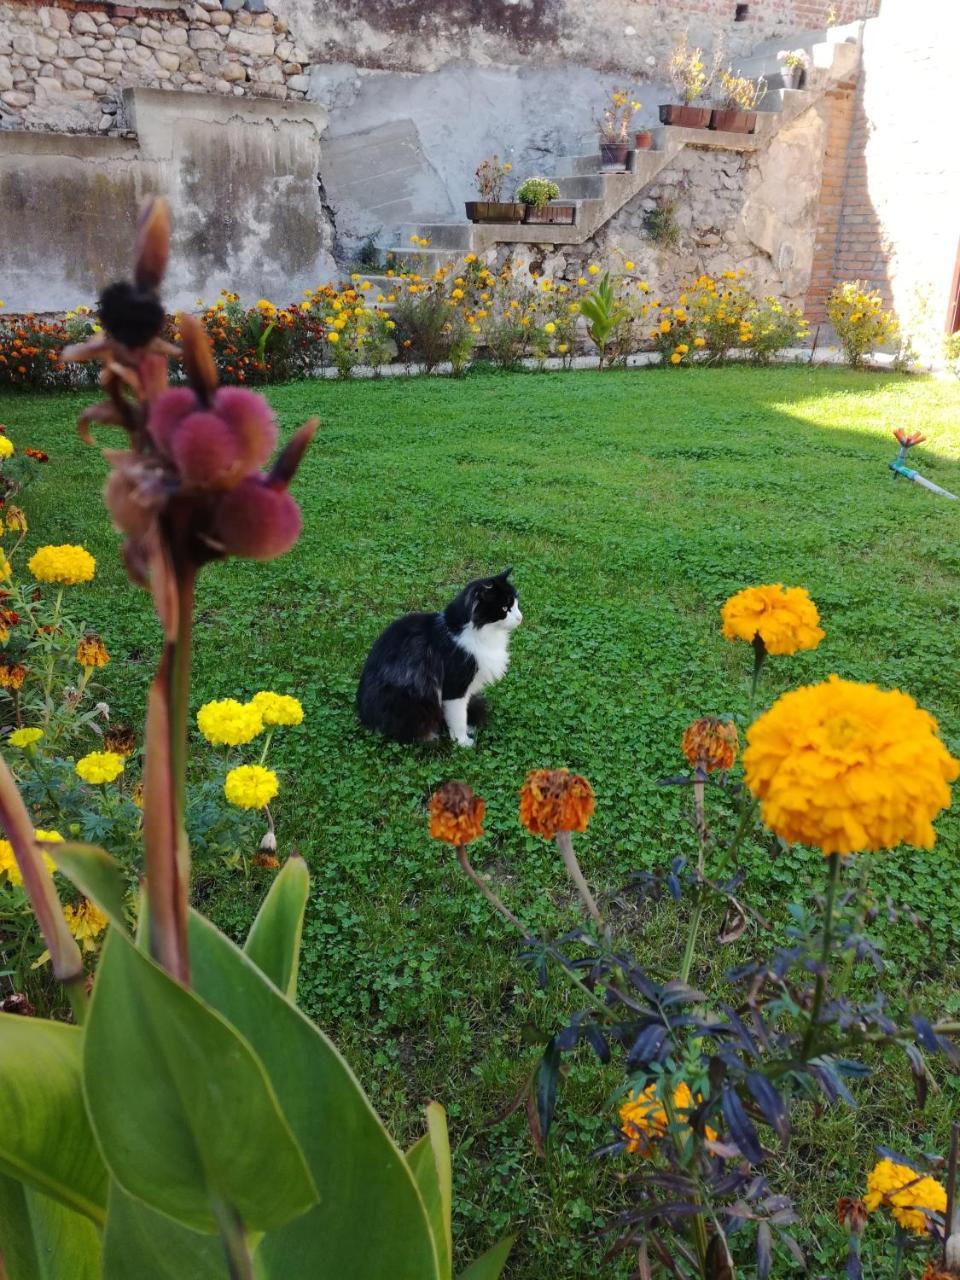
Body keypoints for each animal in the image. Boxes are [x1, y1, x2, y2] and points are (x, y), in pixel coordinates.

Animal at [358, 573, 522, 747]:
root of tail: (363, 715)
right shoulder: (455, 688)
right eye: (504, 608)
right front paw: (462, 742)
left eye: (516, 604)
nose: (520, 618)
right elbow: (458, 718)